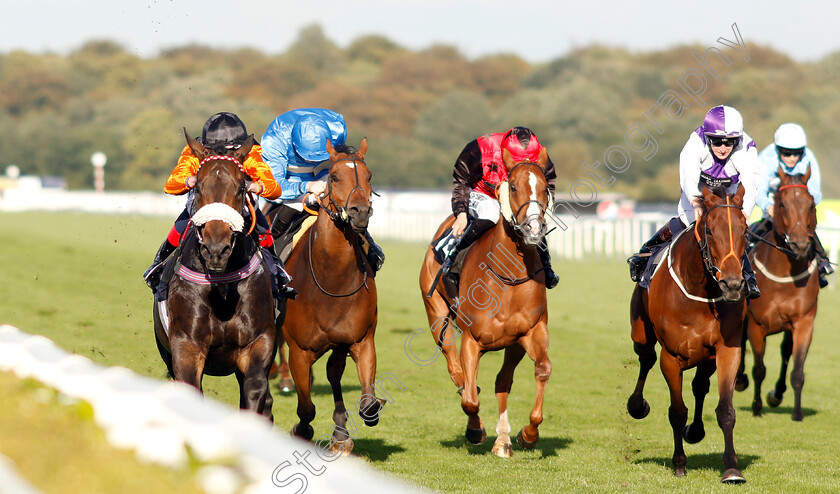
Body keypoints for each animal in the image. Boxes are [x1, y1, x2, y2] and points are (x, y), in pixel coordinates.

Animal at [153, 130, 278, 420]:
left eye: (242, 188)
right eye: (197, 187)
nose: (216, 249)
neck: (222, 291)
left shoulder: (258, 343)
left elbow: (255, 391)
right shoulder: (185, 346)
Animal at [284, 137, 386, 454]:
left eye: (369, 176)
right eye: (334, 176)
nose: (360, 212)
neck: (332, 281)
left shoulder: (360, 340)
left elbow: (367, 402)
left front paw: (345, 430)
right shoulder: (299, 351)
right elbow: (305, 407)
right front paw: (301, 429)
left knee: (333, 372)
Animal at [418, 148, 552, 460]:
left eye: (545, 188)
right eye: (512, 186)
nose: (534, 228)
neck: (508, 276)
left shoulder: (531, 332)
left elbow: (542, 369)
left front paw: (528, 434)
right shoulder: (472, 340)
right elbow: (470, 399)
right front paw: (474, 430)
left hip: (513, 345)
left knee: (502, 382)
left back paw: (502, 440)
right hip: (437, 316)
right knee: (456, 370)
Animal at [632, 185, 748, 482]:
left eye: (744, 229)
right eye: (709, 229)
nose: (732, 284)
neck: (700, 290)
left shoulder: (727, 349)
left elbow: (725, 410)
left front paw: (731, 468)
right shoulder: (671, 357)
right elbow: (676, 411)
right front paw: (679, 463)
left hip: (705, 358)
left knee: (700, 385)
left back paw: (695, 431)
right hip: (640, 332)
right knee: (646, 358)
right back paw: (636, 405)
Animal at [736, 167, 820, 420]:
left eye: (811, 204)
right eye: (782, 204)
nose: (800, 245)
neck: (784, 275)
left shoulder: (803, 322)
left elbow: (797, 370)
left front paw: (797, 413)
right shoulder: (757, 324)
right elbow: (759, 369)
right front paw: (756, 408)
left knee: (785, 351)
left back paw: (777, 393)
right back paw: (740, 380)